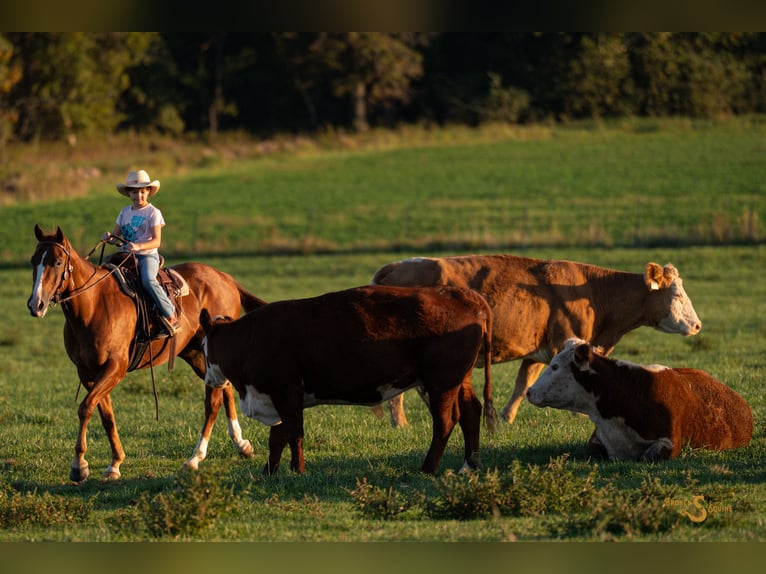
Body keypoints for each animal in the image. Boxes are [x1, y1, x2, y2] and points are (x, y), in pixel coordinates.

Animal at [27, 224, 267, 483]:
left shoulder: (115, 367)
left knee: (212, 401)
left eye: (58, 262)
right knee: (225, 389)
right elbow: (105, 415)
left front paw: (79, 466)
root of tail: (225, 278)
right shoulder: (88, 372)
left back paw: (194, 458)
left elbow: (86, 407)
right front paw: (114, 464)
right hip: (196, 355)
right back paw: (241, 445)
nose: (36, 304)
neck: (92, 306)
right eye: (33, 261)